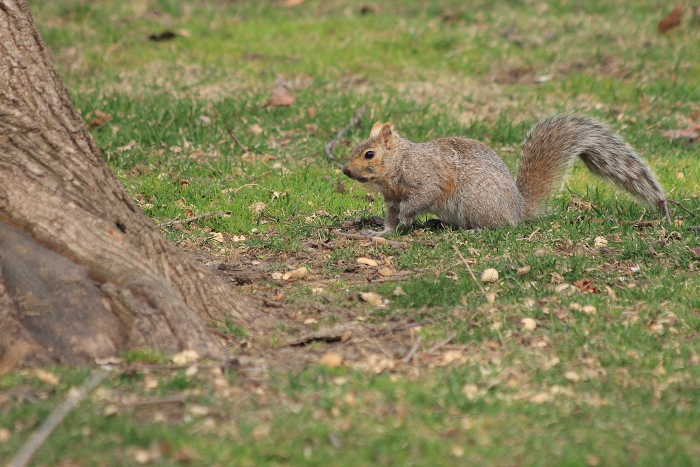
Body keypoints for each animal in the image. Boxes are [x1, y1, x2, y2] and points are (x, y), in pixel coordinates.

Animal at [342, 115, 668, 236]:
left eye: (369, 154)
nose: (345, 170)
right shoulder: (391, 198)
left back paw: (472, 230)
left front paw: (408, 219)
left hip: (475, 200)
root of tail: (517, 208)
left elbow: (421, 198)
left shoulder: (426, 178)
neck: (398, 162)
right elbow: (391, 218)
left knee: (499, 226)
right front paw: (381, 232)